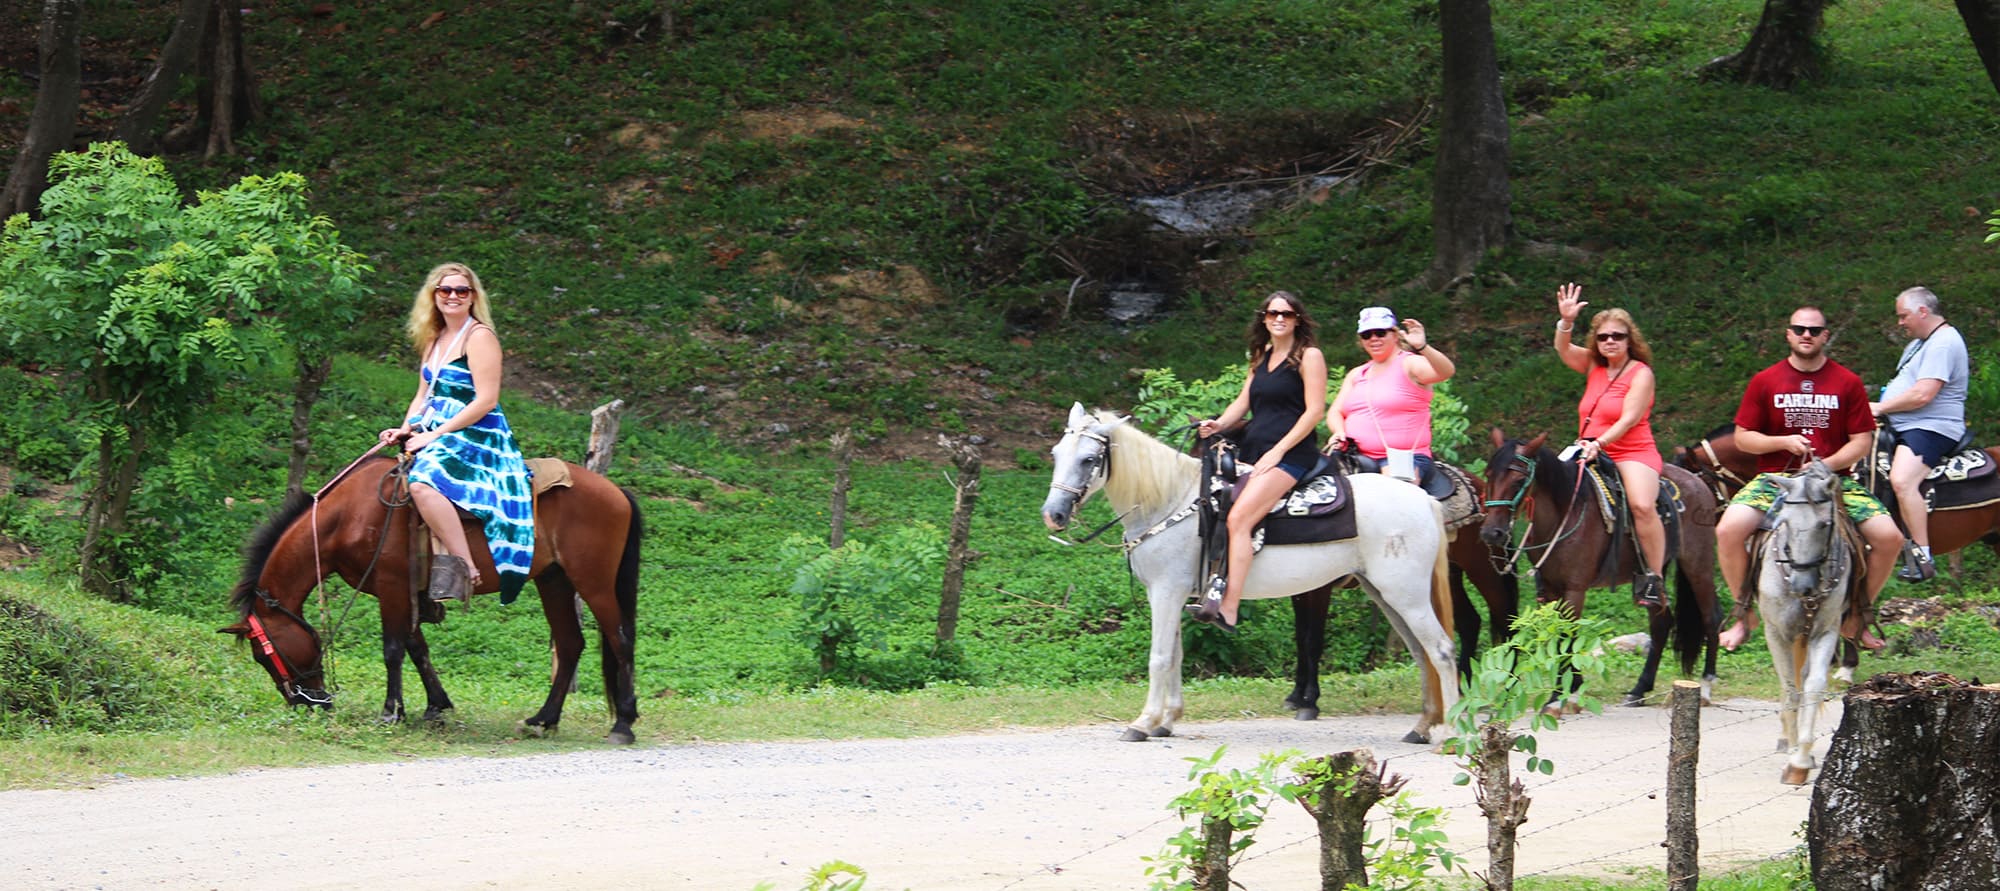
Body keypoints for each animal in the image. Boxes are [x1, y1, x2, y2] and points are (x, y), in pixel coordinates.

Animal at [220, 455, 644, 743]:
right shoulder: (403, 592)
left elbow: (393, 649)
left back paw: (623, 723)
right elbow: (416, 646)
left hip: (593, 581)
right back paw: (544, 719)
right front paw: (435, 706)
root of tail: (617, 491)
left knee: (620, 639)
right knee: (571, 644)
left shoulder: (391, 586)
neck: (346, 517)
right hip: (553, 579)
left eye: (263, 655)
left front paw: (391, 712)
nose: (306, 703)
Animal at [1040, 407, 1464, 743]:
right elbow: (1176, 655)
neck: (1170, 501)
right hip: (1386, 592)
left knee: (1442, 650)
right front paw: (1168, 719)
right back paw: (1422, 727)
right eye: (1057, 454)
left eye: (1089, 459)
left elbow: (1159, 657)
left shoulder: (1166, 591)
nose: (1053, 515)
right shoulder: (1170, 593)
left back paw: (1451, 732)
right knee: (1421, 652)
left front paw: (1143, 723)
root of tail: (1423, 499)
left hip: (1406, 594)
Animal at [1480, 431, 1728, 711]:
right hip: (1654, 577)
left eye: (1519, 479)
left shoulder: (1575, 589)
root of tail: (1698, 481)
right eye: (1489, 475)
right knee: (1661, 623)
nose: (1491, 533)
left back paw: (1705, 686)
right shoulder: (1551, 591)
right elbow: (1560, 638)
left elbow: (1569, 634)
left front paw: (1562, 697)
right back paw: (1639, 689)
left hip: (1698, 565)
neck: (1566, 511)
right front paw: (1568, 689)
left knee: (1712, 617)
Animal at [1760, 463, 1848, 783]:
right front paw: (1795, 747)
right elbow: (1790, 688)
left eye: (1824, 524)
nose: (1802, 585)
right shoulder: (1775, 633)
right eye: (1784, 521)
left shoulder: (1826, 630)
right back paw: (1788, 737)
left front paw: (1800, 761)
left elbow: (1813, 684)